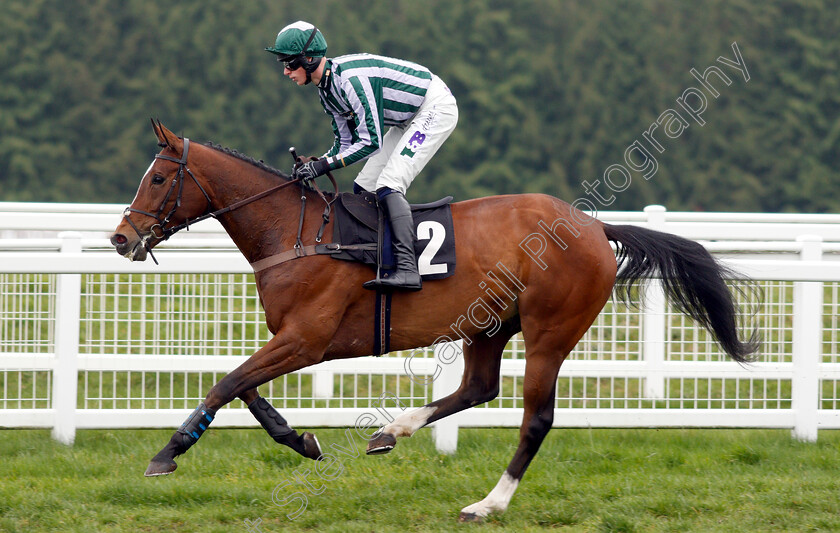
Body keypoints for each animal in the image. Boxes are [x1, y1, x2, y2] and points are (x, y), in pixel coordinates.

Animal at [108, 119, 756, 520]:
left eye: (159, 177)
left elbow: (226, 383)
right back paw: (390, 432)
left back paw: (488, 504)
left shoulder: (306, 339)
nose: (120, 238)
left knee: (536, 419)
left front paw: (168, 453)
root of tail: (596, 226)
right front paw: (303, 440)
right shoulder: (292, 340)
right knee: (478, 387)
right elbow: (245, 389)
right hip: (489, 326)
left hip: (550, 331)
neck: (298, 232)